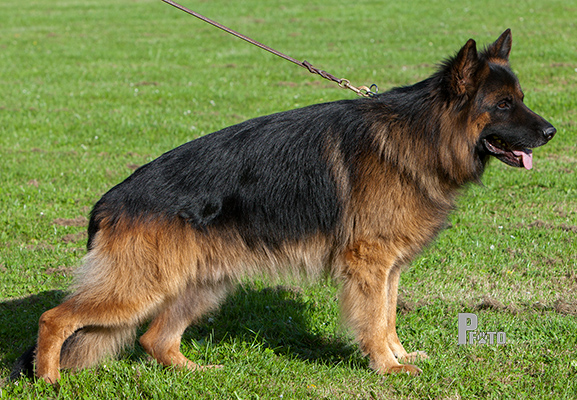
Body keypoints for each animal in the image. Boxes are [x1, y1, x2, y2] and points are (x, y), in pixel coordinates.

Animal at [13, 28, 552, 382]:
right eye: (504, 105)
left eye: (521, 98)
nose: (551, 132)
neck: (424, 134)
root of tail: (107, 202)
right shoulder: (370, 264)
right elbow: (374, 319)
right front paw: (385, 367)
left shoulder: (390, 268)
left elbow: (389, 315)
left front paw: (398, 357)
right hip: (139, 285)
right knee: (55, 318)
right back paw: (49, 380)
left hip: (202, 283)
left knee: (153, 339)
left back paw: (197, 370)